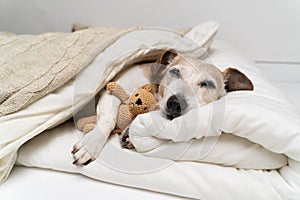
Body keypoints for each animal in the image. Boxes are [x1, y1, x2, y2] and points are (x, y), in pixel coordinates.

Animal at [72, 50, 253, 166]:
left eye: (207, 84)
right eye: (175, 72)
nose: (175, 103)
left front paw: (129, 134)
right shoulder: (112, 92)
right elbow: (108, 120)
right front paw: (90, 145)